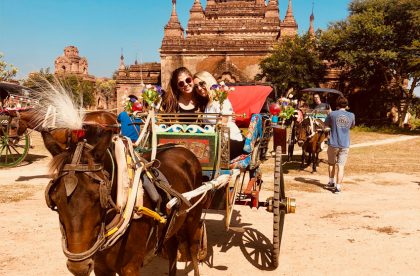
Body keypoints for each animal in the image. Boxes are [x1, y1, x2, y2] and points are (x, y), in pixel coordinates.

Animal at [41, 128, 205, 276]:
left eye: (98, 197)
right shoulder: (101, 268)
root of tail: (182, 147)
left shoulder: (130, 268)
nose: (78, 267)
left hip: (193, 219)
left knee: (193, 248)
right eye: (54, 199)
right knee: (172, 249)